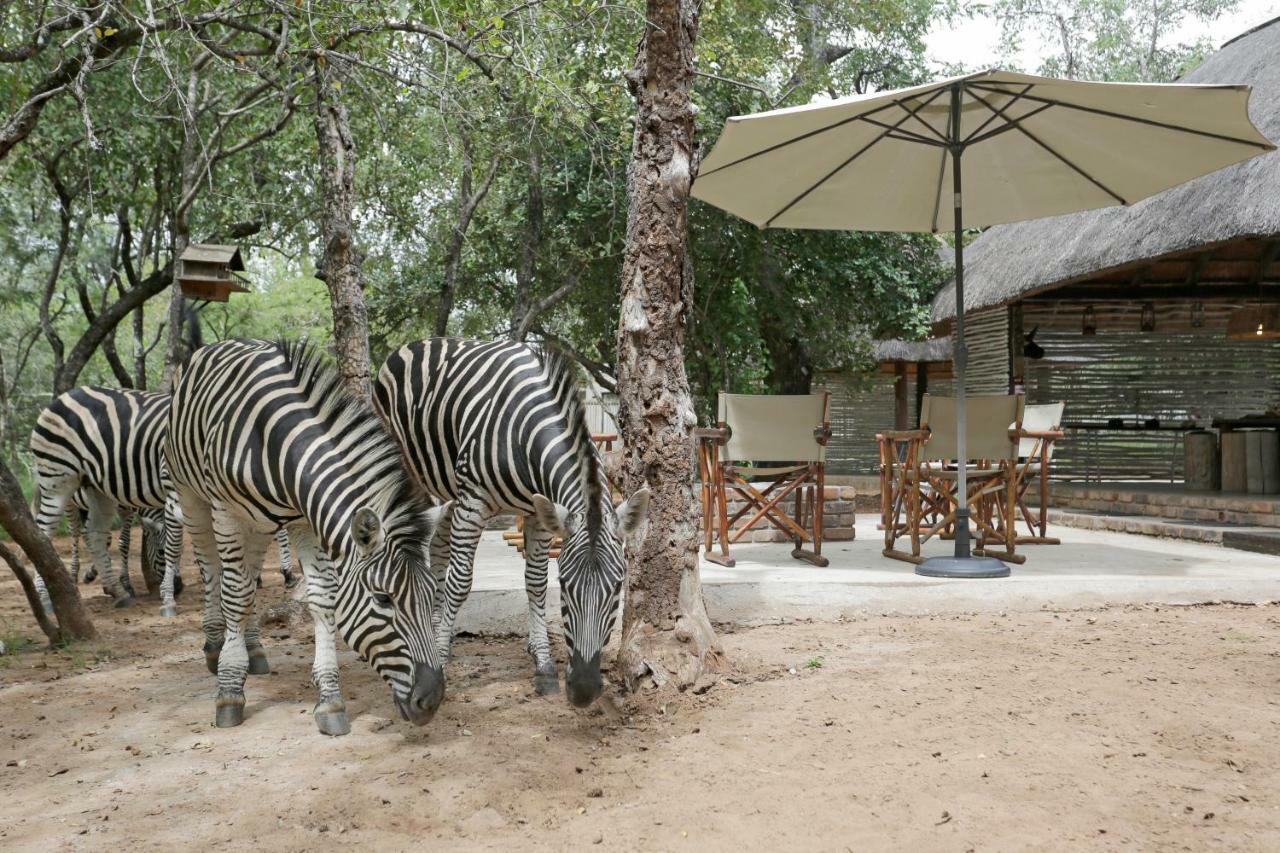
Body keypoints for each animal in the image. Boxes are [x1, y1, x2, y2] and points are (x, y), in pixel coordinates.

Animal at [29, 384, 185, 612]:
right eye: (160, 553)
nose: (180, 587)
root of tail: (65, 395)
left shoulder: (128, 506)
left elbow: (119, 541)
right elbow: (121, 542)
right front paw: (125, 583)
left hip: (93, 489)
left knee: (91, 532)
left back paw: (113, 589)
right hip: (60, 486)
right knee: (57, 533)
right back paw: (55, 590)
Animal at [165, 338, 448, 732]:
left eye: (432, 594)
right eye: (383, 599)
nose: (432, 699)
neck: (277, 442)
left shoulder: (305, 519)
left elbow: (322, 600)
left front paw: (329, 700)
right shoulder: (226, 510)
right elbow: (235, 596)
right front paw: (230, 691)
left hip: (258, 524)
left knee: (250, 574)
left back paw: (254, 649)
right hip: (191, 496)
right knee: (213, 570)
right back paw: (215, 644)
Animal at [373, 338, 645, 701]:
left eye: (617, 588)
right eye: (566, 586)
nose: (585, 689)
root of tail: (422, 341)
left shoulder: (537, 512)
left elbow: (535, 582)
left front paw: (543, 663)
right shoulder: (473, 502)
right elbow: (461, 582)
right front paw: (439, 661)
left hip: (448, 491)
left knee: (438, 547)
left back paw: (435, 630)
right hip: (410, 472)